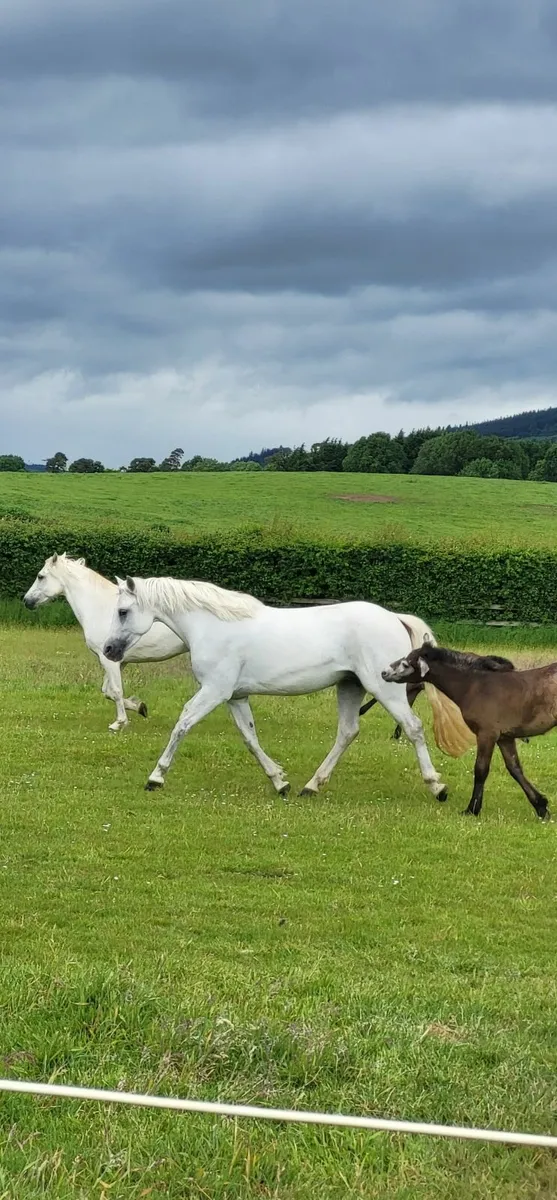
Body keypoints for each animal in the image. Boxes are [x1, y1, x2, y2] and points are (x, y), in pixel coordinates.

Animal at [23, 554, 187, 731]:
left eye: (41, 576)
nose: (26, 601)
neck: (101, 608)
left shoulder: (108, 659)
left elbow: (116, 691)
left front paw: (119, 723)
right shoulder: (118, 661)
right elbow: (107, 691)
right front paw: (140, 707)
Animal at [102, 574, 469, 799]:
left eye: (122, 611)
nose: (108, 650)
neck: (213, 626)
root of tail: (395, 617)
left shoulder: (214, 691)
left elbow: (183, 724)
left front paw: (155, 777)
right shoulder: (235, 697)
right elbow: (250, 738)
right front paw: (280, 782)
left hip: (384, 689)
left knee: (413, 728)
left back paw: (437, 787)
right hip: (350, 687)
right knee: (348, 732)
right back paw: (311, 786)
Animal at [382, 642, 551, 820]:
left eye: (406, 663)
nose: (384, 672)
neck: (475, 685)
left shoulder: (486, 735)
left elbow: (481, 769)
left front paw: (472, 809)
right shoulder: (505, 737)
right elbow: (515, 768)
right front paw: (541, 806)